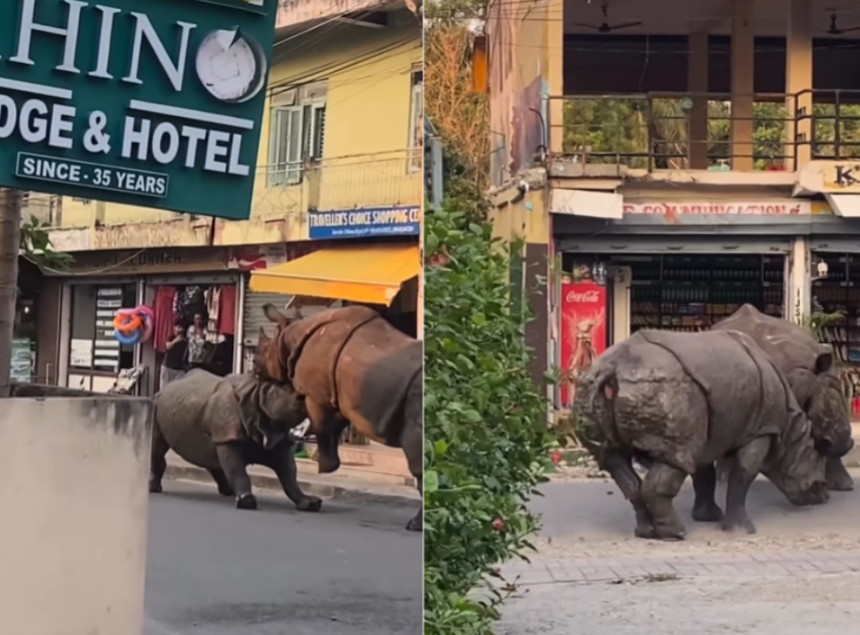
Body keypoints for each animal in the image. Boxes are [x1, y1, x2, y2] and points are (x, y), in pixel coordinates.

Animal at [149, 369, 322, 514]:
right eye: (286, 389)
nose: (306, 397)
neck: (257, 394)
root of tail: (164, 388)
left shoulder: (277, 438)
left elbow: (289, 474)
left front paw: (311, 503)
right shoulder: (228, 437)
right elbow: (236, 468)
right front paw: (246, 501)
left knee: (210, 454)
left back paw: (228, 492)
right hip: (156, 404)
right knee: (157, 447)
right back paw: (154, 489)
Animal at [574, 329, 828, 540]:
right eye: (812, 457)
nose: (822, 494)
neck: (792, 426)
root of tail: (610, 368)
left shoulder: (707, 430)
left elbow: (704, 475)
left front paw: (708, 517)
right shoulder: (761, 431)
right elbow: (742, 475)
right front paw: (741, 531)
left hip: (607, 389)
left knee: (616, 459)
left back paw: (645, 533)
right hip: (663, 388)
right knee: (674, 458)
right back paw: (676, 535)